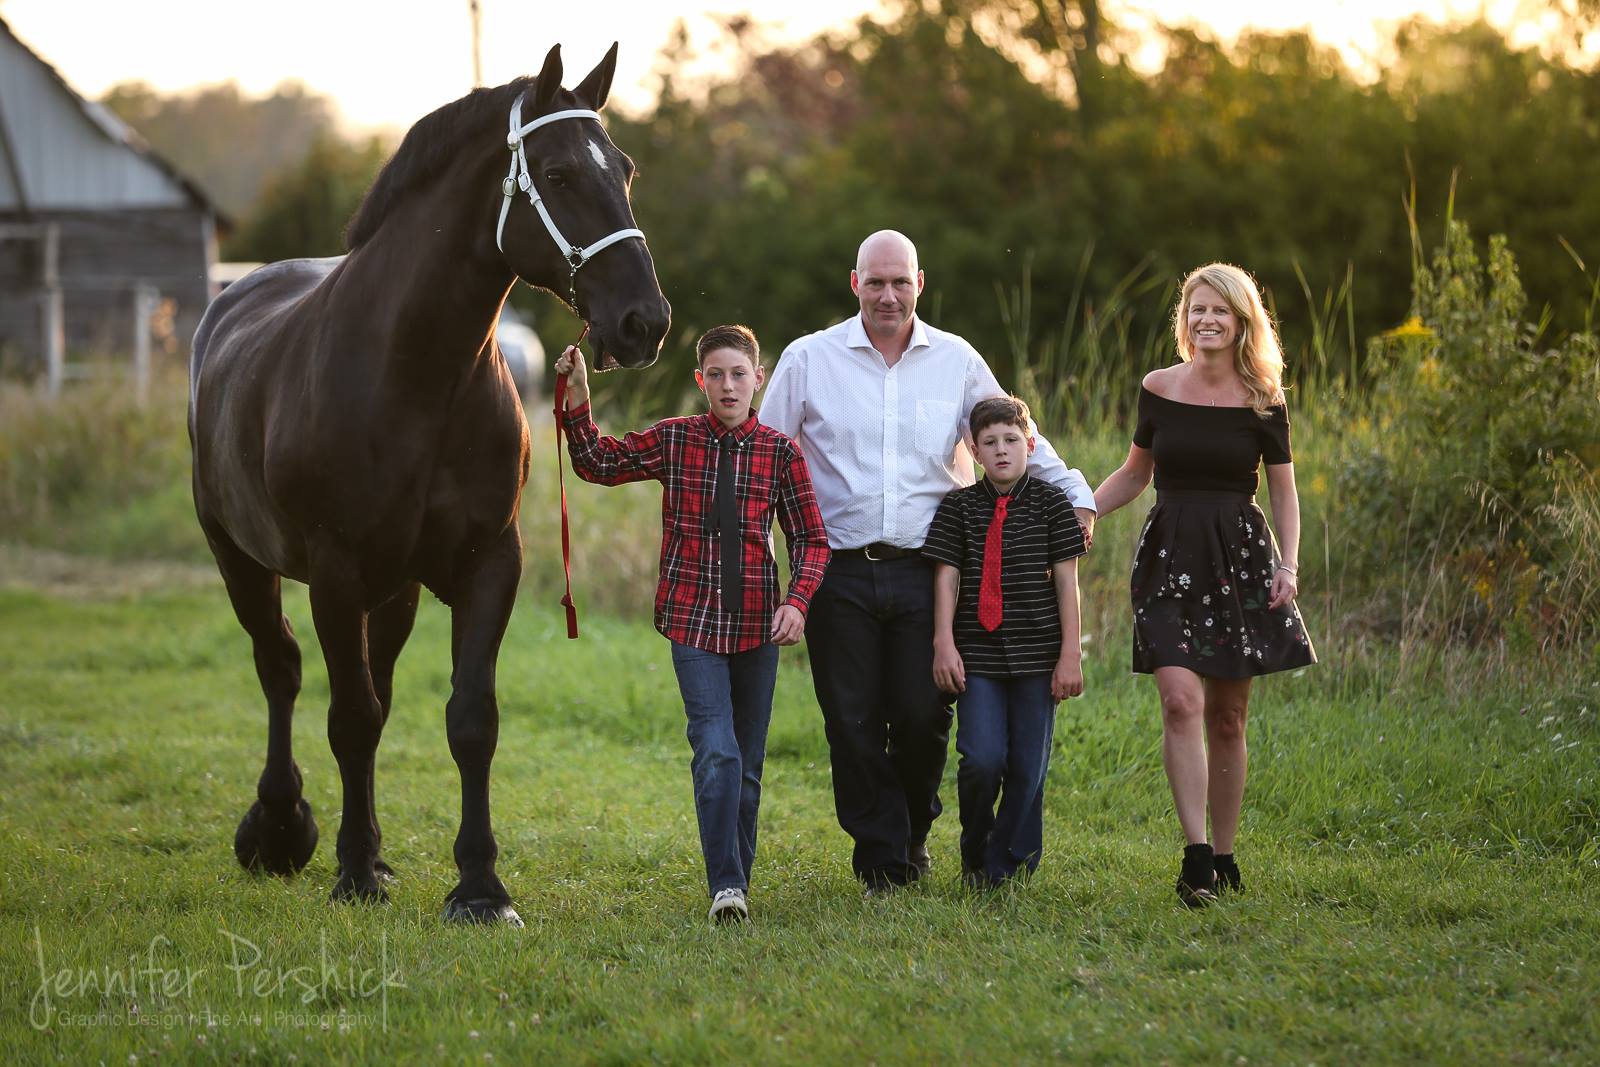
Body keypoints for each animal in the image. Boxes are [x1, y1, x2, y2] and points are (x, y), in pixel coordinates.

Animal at [188, 45, 668, 921]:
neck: (416, 374)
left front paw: (478, 887)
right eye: (555, 173)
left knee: (370, 694)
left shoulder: (489, 563)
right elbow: (346, 715)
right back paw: (282, 827)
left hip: (396, 589)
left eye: (623, 169)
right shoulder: (335, 574)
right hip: (239, 557)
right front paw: (347, 869)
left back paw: (372, 853)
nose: (643, 321)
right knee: (282, 669)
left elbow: (468, 718)